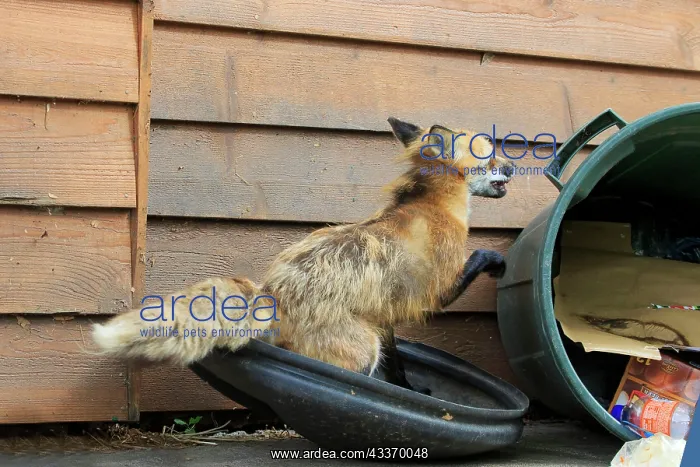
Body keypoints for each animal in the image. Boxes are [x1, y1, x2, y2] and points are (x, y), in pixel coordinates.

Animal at [91, 117, 516, 392]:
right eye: (489, 155)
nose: (513, 166)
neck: (433, 206)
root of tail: (272, 294)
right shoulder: (439, 291)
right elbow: (480, 255)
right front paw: (499, 263)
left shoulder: (384, 318)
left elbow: (397, 368)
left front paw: (410, 390)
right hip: (362, 351)